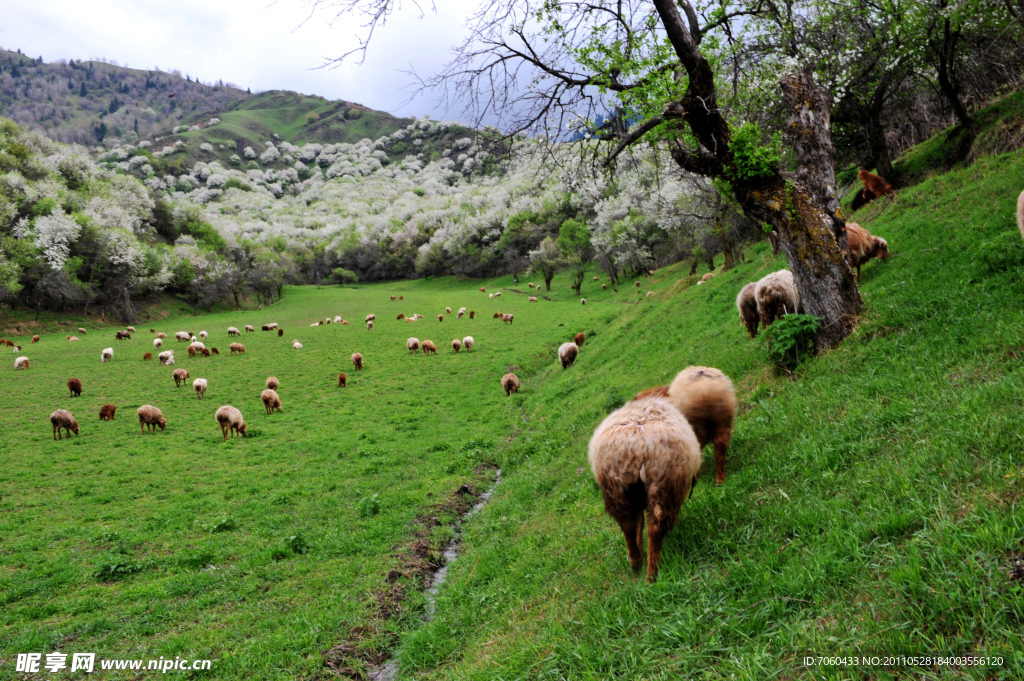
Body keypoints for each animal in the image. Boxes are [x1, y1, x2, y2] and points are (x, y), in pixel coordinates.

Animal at [585, 395, 704, 581]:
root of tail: (638, 447)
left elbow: (638, 522)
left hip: (617, 488)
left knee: (628, 524)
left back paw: (636, 562)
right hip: (664, 486)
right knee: (655, 528)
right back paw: (651, 574)